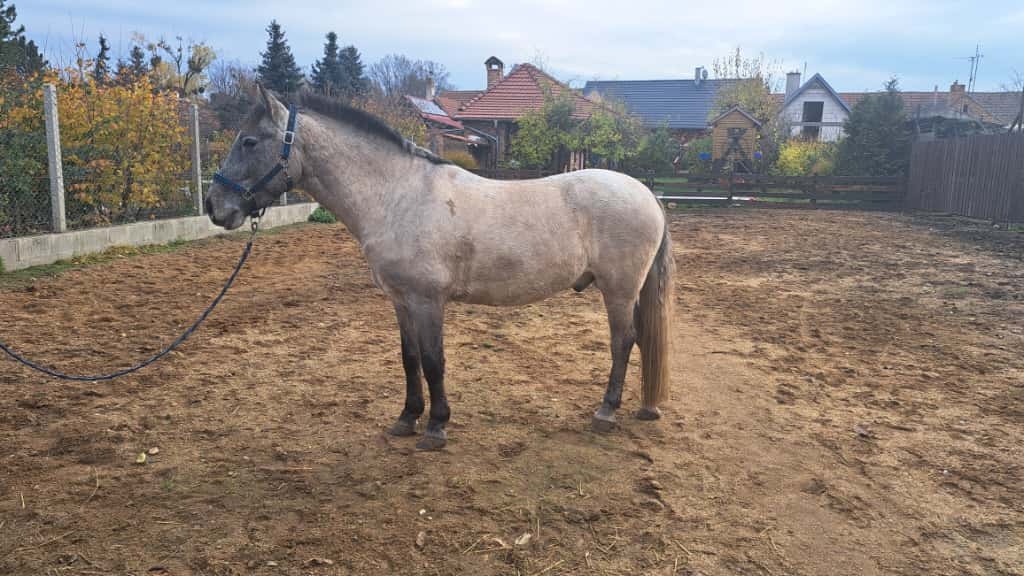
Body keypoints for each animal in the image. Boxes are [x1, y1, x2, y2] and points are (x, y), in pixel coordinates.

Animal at [205, 86, 674, 450]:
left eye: (250, 142)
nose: (214, 206)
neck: (398, 195)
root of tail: (646, 194)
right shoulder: (401, 301)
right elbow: (409, 357)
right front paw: (407, 419)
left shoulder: (427, 300)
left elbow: (433, 360)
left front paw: (436, 427)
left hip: (618, 289)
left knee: (624, 342)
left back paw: (606, 411)